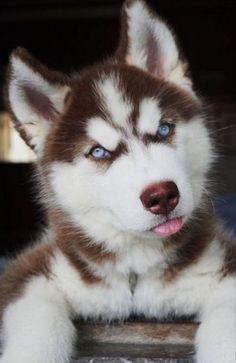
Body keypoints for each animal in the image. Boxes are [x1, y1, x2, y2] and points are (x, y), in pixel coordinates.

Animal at [0, 0, 236, 363]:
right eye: (98, 151)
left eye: (164, 130)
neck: (135, 273)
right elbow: (36, 327)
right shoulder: (30, 273)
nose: (162, 196)